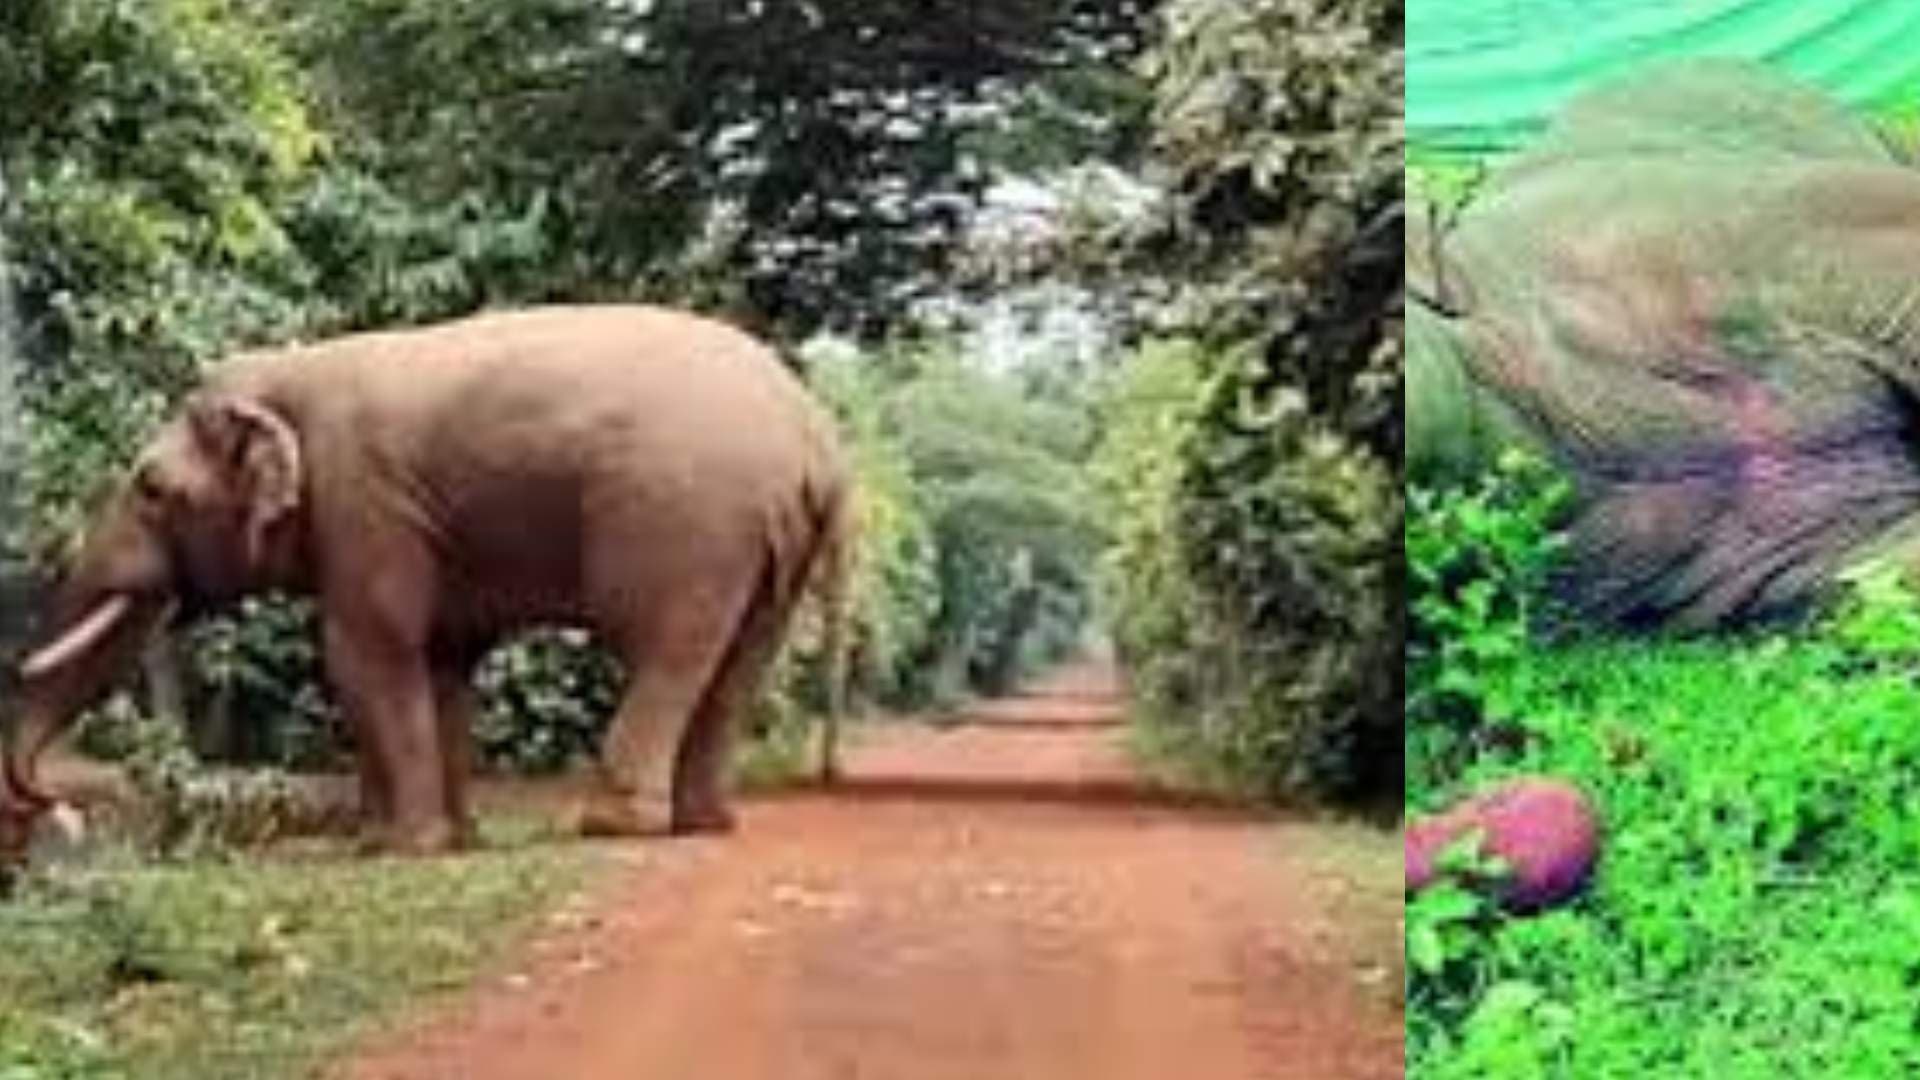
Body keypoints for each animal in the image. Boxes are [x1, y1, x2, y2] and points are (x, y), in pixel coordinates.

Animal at [0, 305, 853, 860]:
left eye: (150, 489)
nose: (53, 805)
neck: (291, 373)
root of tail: (817, 438)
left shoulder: (365, 500)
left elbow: (366, 655)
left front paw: (400, 846)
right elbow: (442, 661)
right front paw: (445, 840)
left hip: (686, 523)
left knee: (665, 650)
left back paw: (611, 826)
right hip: (766, 543)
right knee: (740, 664)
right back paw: (704, 824)